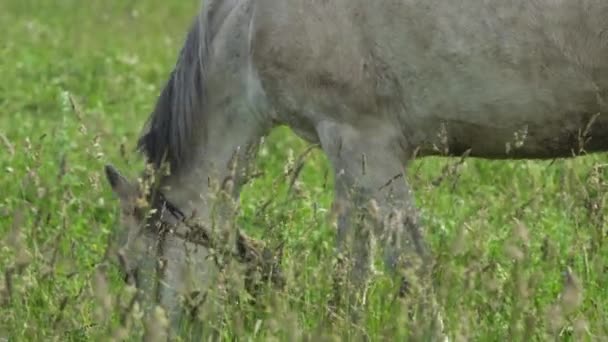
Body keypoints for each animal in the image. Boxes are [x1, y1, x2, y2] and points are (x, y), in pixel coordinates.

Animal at [103, 0, 608, 336]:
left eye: (129, 268)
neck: (250, 28)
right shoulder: (346, 157)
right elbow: (351, 268)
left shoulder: (366, 145)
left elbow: (411, 268)